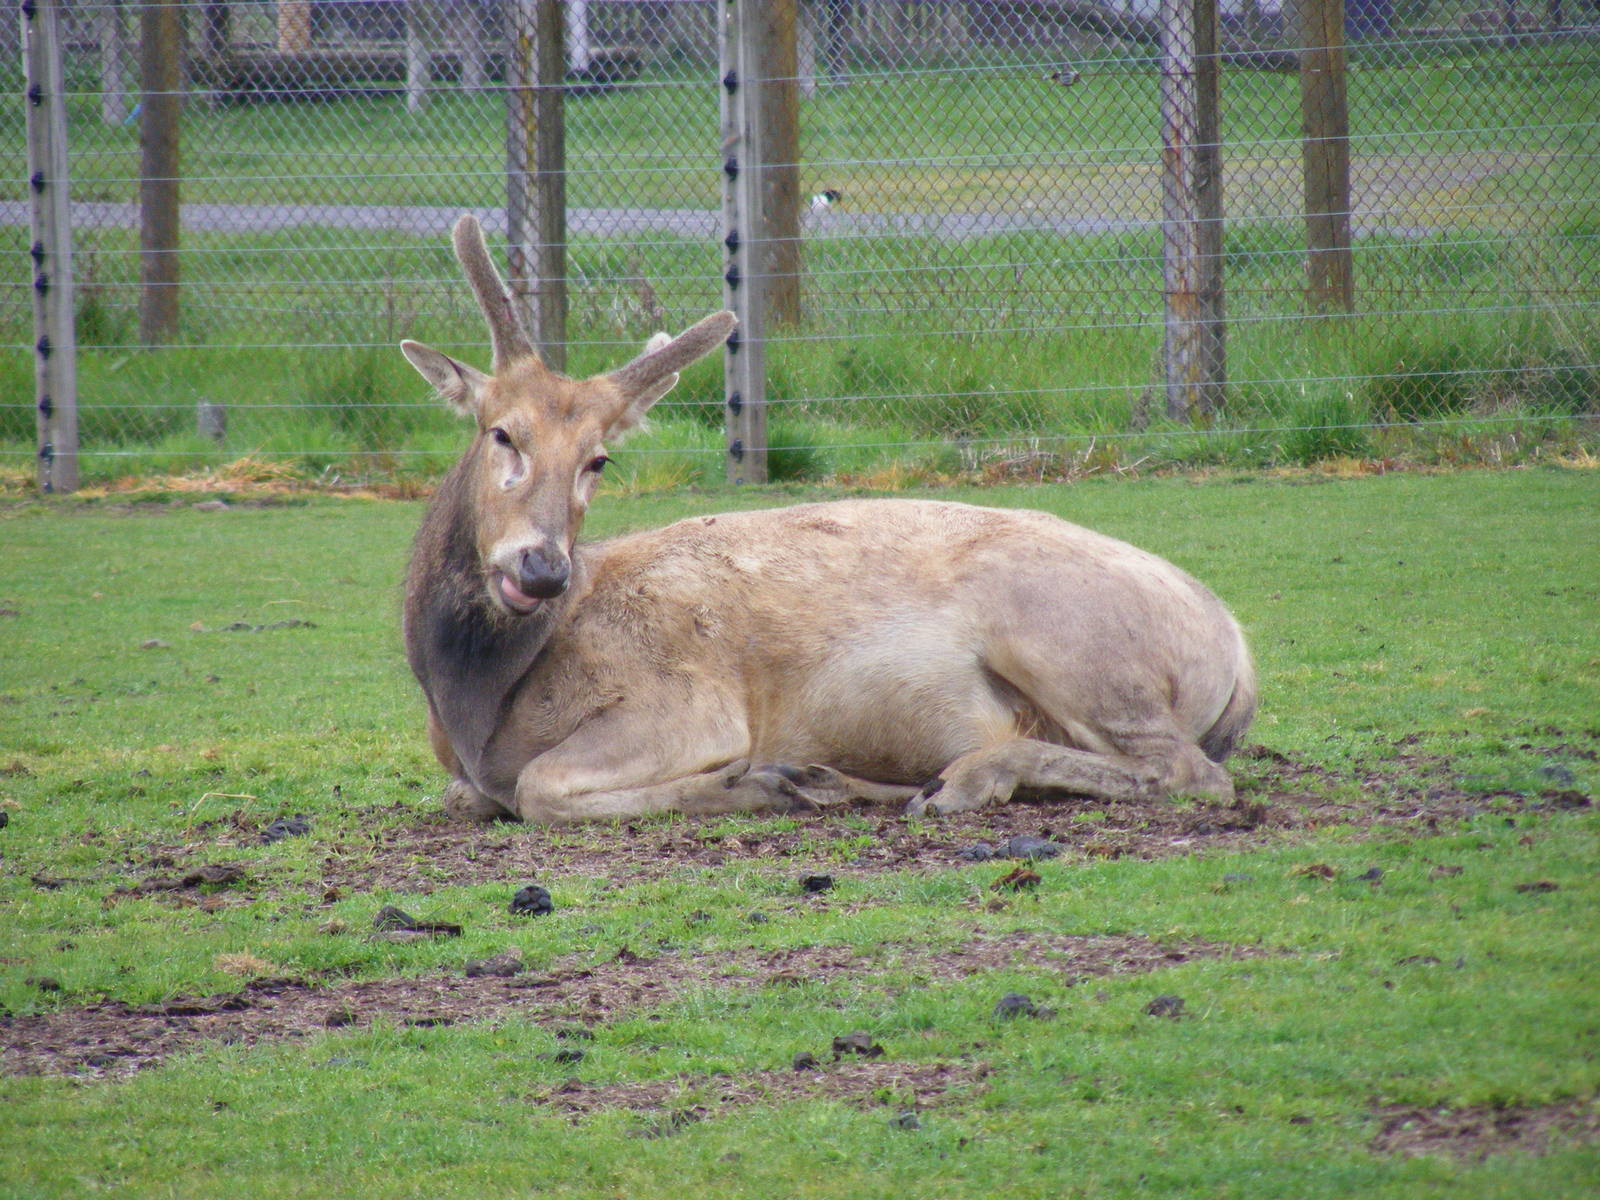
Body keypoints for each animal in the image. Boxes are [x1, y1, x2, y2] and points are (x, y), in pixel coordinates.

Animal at [399, 215, 1257, 826]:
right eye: (500, 431)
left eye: (598, 459)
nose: (540, 567)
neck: (477, 706)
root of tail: (1238, 651)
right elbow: (464, 794)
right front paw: (785, 780)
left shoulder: (686, 704)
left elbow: (539, 787)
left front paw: (753, 783)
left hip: (1071, 642)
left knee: (1193, 773)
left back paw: (959, 780)